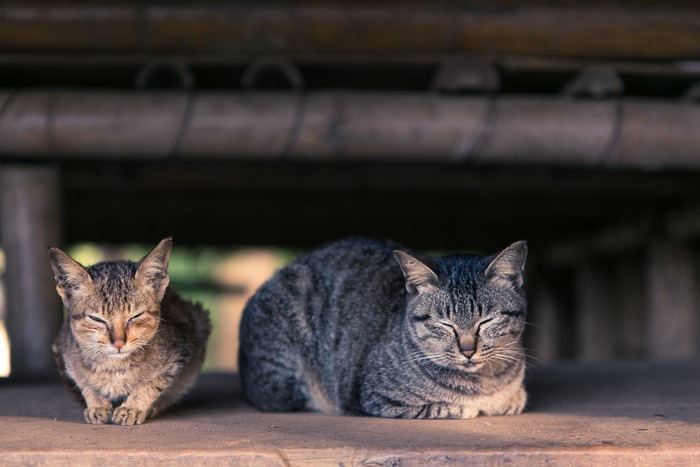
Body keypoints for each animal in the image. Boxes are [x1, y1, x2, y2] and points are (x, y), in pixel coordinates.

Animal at [49, 239, 209, 426]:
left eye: (136, 316)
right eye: (97, 319)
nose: (118, 342)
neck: (115, 367)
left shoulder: (181, 351)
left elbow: (154, 383)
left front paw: (132, 407)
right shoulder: (64, 352)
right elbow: (85, 383)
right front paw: (97, 404)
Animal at [238, 238, 528, 420]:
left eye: (486, 321)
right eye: (444, 324)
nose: (468, 351)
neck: (485, 383)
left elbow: (516, 397)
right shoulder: (375, 398)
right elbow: (447, 407)